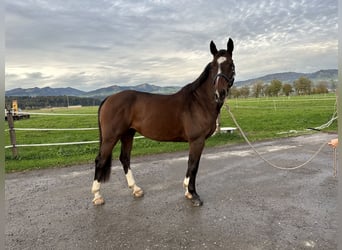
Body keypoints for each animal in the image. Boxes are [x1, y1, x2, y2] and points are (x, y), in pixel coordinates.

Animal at [91, 38, 235, 206]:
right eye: (213, 66)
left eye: (231, 64)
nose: (220, 93)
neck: (199, 101)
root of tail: (108, 98)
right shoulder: (197, 141)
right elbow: (193, 166)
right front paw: (194, 194)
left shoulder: (196, 142)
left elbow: (191, 165)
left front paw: (187, 192)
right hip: (111, 137)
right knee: (100, 160)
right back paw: (97, 196)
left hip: (127, 134)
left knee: (124, 158)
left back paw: (136, 189)